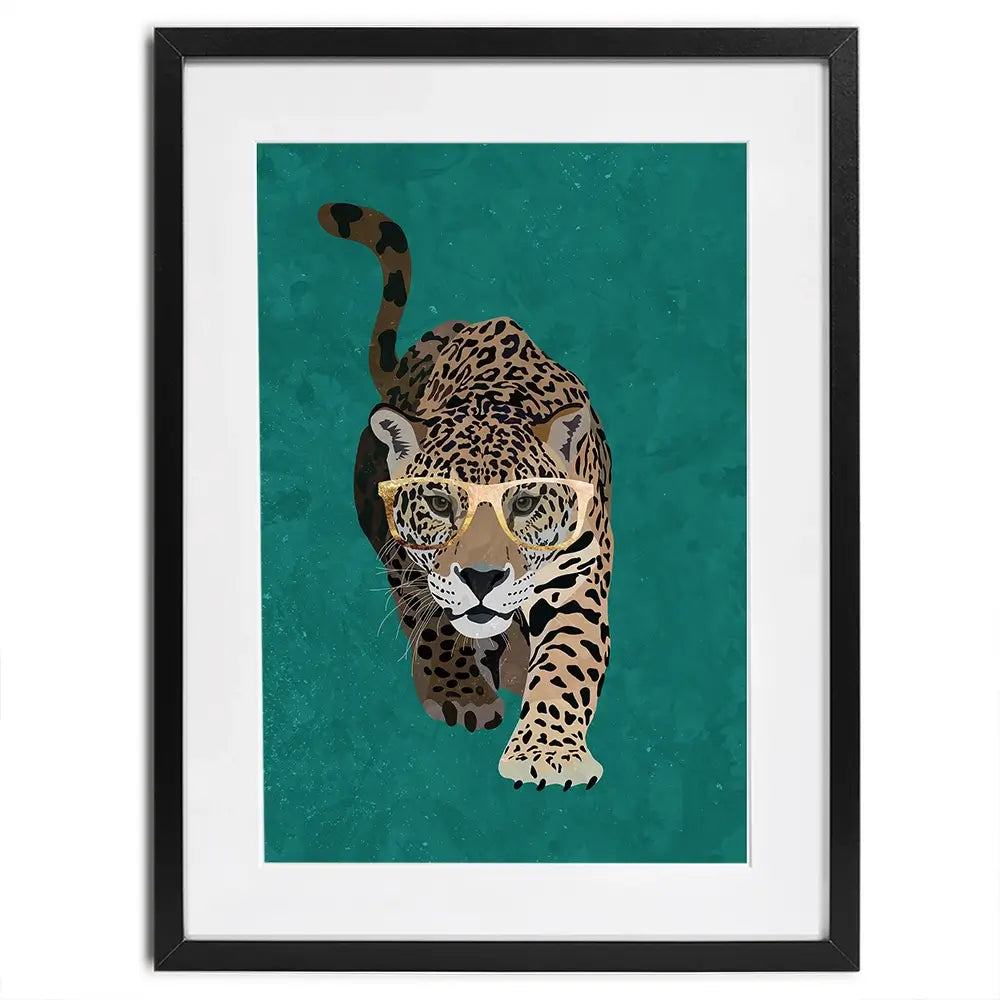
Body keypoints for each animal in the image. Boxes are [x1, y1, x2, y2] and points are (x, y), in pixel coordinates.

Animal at [318, 202, 614, 790]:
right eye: (439, 503)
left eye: (523, 503)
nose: (482, 579)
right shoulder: (410, 559)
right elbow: (435, 620)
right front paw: (461, 693)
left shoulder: (577, 576)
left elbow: (568, 660)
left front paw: (548, 754)